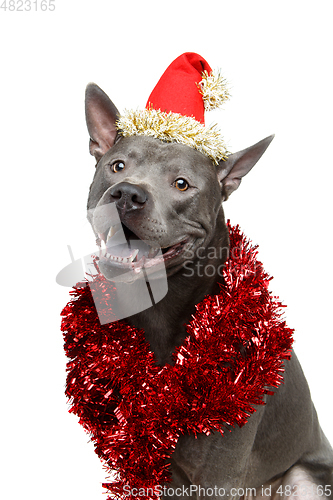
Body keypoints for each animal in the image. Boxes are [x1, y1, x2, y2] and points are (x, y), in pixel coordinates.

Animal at [83, 80, 332, 498]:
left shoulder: (219, 475)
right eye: (117, 166)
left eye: (181, 184)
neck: (161, 312)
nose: (127, 194)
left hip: (303, 478)